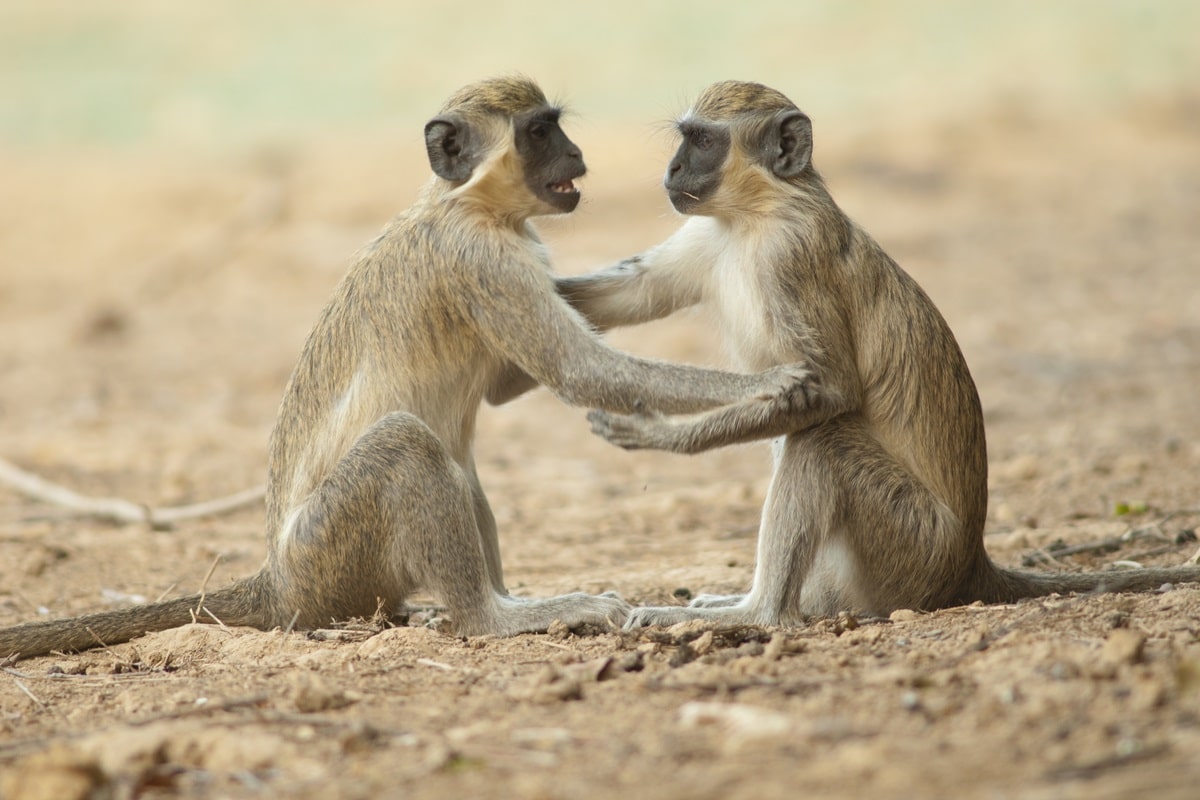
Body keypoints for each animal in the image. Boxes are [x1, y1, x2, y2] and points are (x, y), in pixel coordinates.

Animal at [566, 82, 1200, 633]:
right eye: (686, 138)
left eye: (702, 141)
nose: (672, 171)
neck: (755, 215)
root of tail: (970, 562)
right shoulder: (706, 233)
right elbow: (624, 296)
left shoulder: (792, 255)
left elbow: (830, 391)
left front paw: (660, 434)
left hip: (910, 545)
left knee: (825, 441)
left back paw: (758, 614)